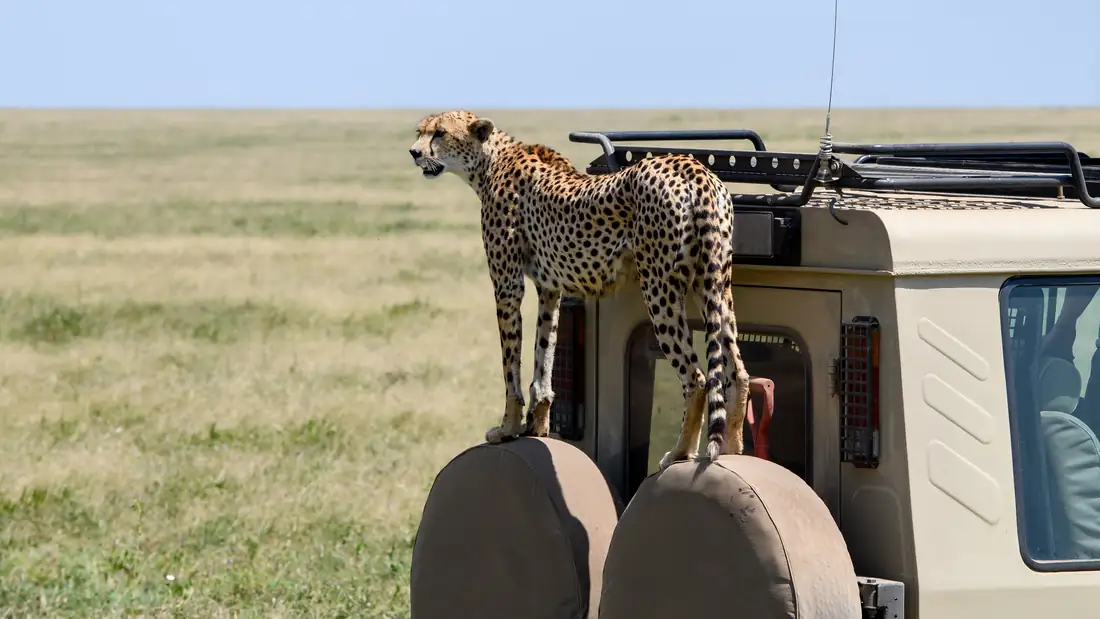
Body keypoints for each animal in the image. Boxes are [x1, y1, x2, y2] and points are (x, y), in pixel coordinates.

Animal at [409, 110, 750, 469]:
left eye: (440, 133)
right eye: (420, 131)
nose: (414, 152)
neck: (490, 160)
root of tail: (691, 166)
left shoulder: (507, 285)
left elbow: (511, 366)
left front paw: (508, 428)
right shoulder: (549, 288)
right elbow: (544, 355)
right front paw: (538, 426)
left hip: (659, 286)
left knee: (696, 378)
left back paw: (681, 453)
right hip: (714, 282)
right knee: (737, 371)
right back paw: (733, 447)